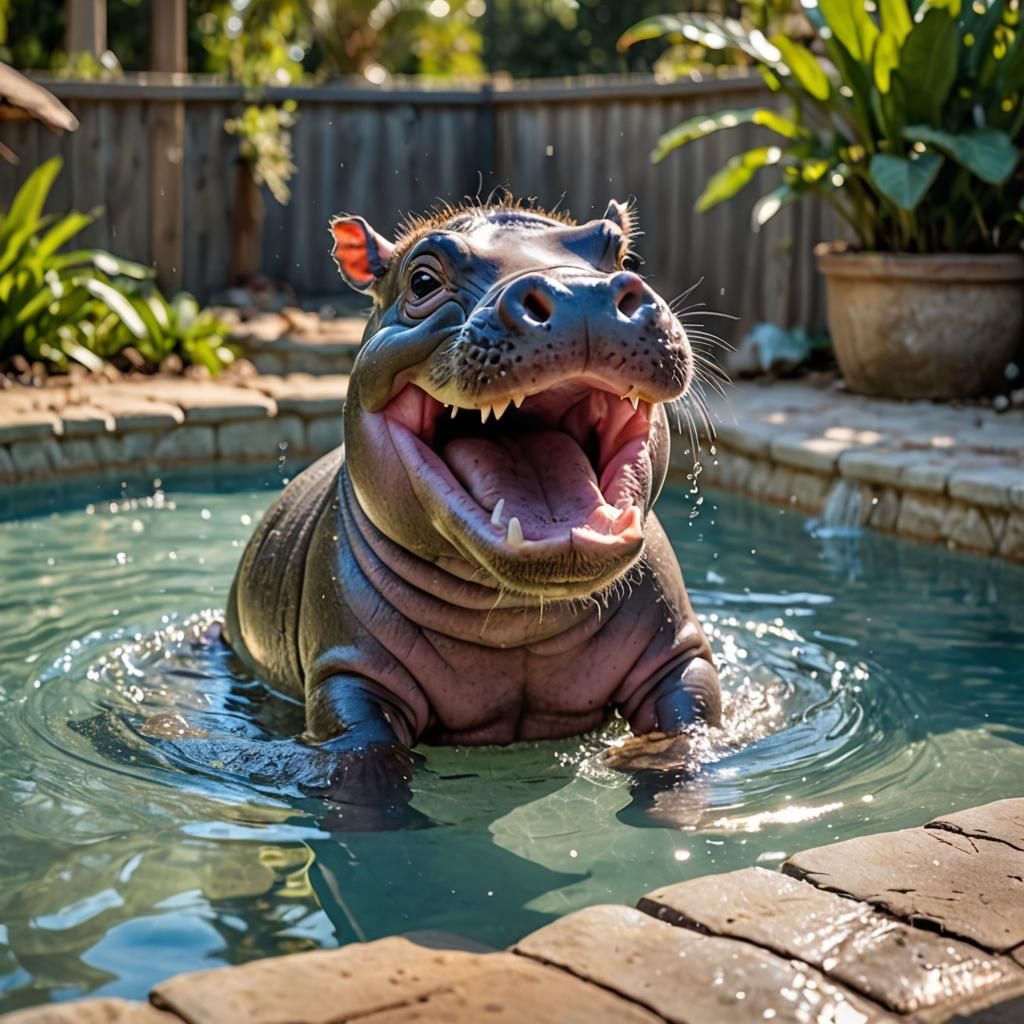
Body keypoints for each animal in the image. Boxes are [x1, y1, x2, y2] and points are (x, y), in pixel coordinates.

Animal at [223, 198, 720, 816]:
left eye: (619, 251)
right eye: (422, 279)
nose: (579, 293)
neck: (521, 620)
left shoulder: (680, 655)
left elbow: (688, 728)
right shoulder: (348, 677)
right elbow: (365, 758)